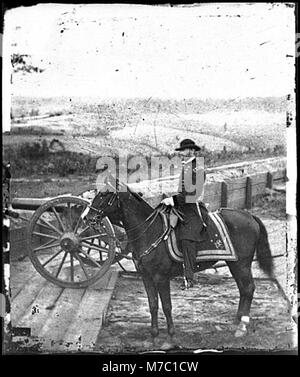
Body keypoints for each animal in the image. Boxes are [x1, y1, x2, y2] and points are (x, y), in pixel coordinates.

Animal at [82, 178, 274, 348]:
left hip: (242, 264)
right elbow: (153, 305)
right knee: (243, 289)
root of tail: (249, 215)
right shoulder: (146, 277)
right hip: (234, 264)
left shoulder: (161, 278)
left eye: (104, 195)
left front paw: (170, 338)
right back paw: (236, 322)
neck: (150, 231)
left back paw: (242, 326)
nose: (86, 217)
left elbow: (167, 306)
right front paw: (153, 337)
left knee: (248, 288)